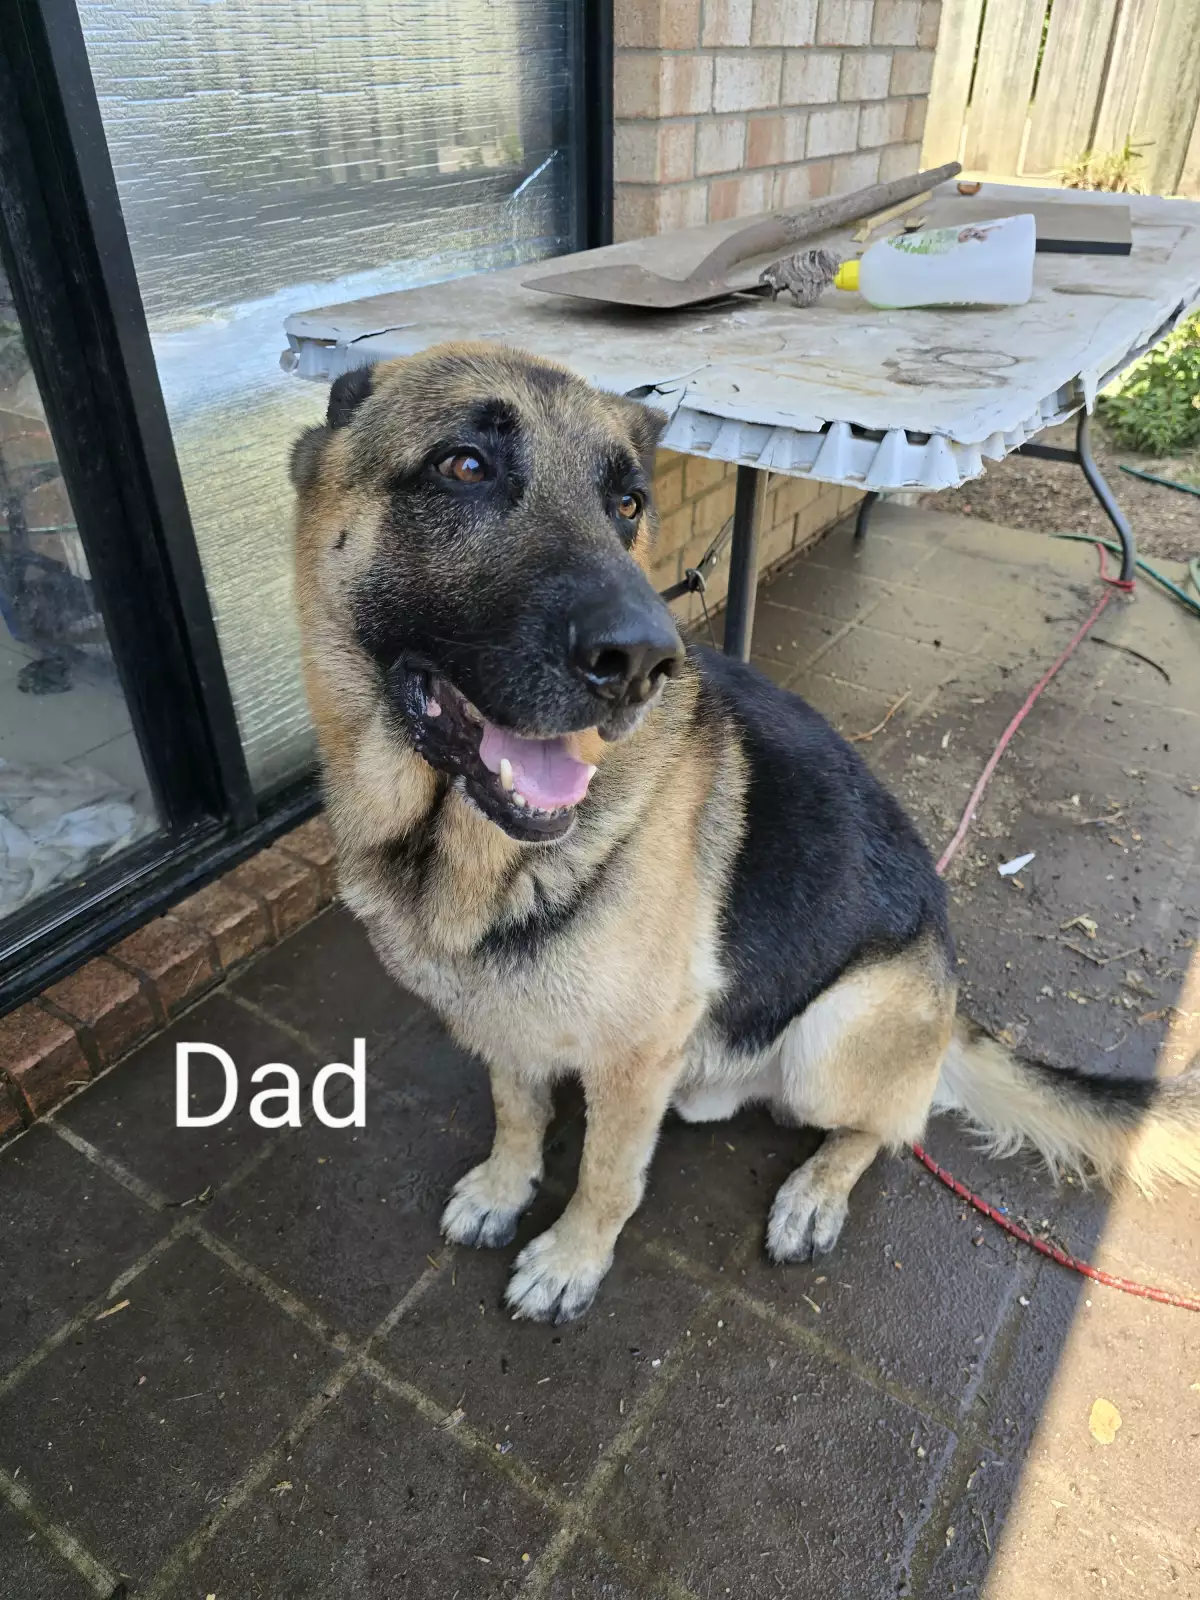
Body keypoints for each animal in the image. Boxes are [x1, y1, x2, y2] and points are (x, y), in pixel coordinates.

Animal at [291, 342, 1200, 1323]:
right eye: (464, 466)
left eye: (627, 504)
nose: (642, 663)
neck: (455, 845)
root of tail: (950, 1007)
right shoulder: (506, 1027)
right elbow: (517, 1111)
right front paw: (505, 1186)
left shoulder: (635, 1057)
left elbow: (607, 1175)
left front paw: (572, 1257)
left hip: (835, 1033)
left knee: (887, 1128)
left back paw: (815, 1191)